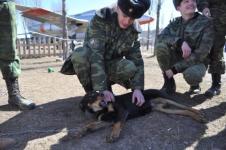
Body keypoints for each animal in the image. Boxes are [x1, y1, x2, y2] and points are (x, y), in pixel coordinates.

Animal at [63, 89, 207, 143]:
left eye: (98, 93)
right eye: (92, 95)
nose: (104, 95)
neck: (101, 110)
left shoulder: (122, 112)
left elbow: (117, 124)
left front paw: (113, 135)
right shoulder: (105, 120)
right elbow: (89, 125)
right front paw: (78, 133)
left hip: (166, 98)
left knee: (185, 106)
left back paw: (199, 113)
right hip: (163, 109)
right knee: (183, 112)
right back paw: (197, 117)